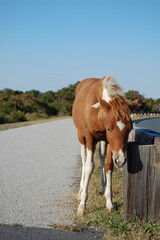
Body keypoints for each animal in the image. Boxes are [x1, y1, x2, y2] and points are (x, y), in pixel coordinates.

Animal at [72, 75, 140, 216]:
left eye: (130, 129)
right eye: (109, 128)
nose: (121, 160)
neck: (97, 112)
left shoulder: (109, 142)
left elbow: (109, 164)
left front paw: (109, 202)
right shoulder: (90, 138)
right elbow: (89, 166)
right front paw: (82, 205)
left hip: (103, 141)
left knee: (102, 156)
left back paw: (103, 186)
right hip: (81, 136)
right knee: (83, 158)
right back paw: (80, 190)